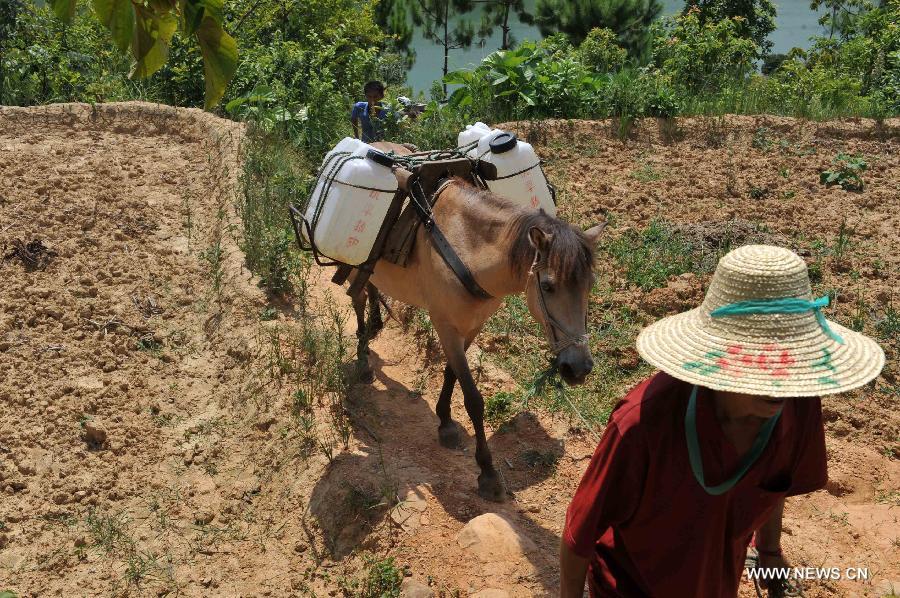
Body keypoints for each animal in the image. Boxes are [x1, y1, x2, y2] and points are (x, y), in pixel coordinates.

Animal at [352, 143, 604, 504]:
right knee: (356, 297)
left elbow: (450, 373)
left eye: (590, 286)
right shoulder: (444, 324)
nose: (579, 368)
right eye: (547, 286)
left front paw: (444, 419)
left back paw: (375, 324)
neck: (467, 246)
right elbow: (473, 398)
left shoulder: (472, 325)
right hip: (351, 263)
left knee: (370, 286)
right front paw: (487, 472)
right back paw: (362, 359)